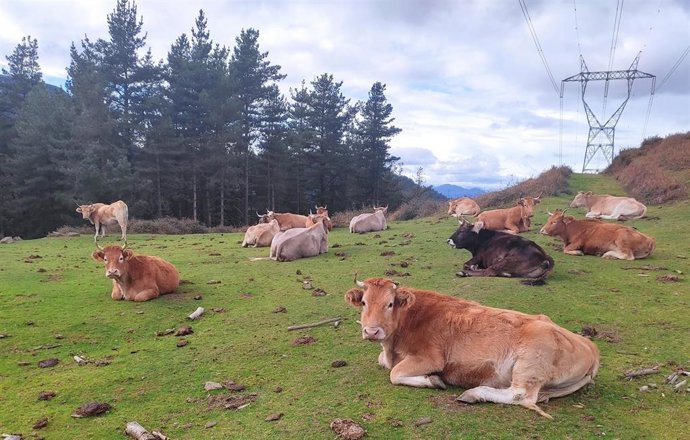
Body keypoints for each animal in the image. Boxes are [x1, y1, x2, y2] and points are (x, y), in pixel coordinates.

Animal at [346, 277, 600, 419]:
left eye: (390, 304)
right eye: (364, 303)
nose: (371, 331)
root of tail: (591, 346)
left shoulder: (430, 357)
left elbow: (395, 373)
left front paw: (433, 380)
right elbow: (383, 362)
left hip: (531, 361)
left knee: (520, 394)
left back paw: (474, 393)